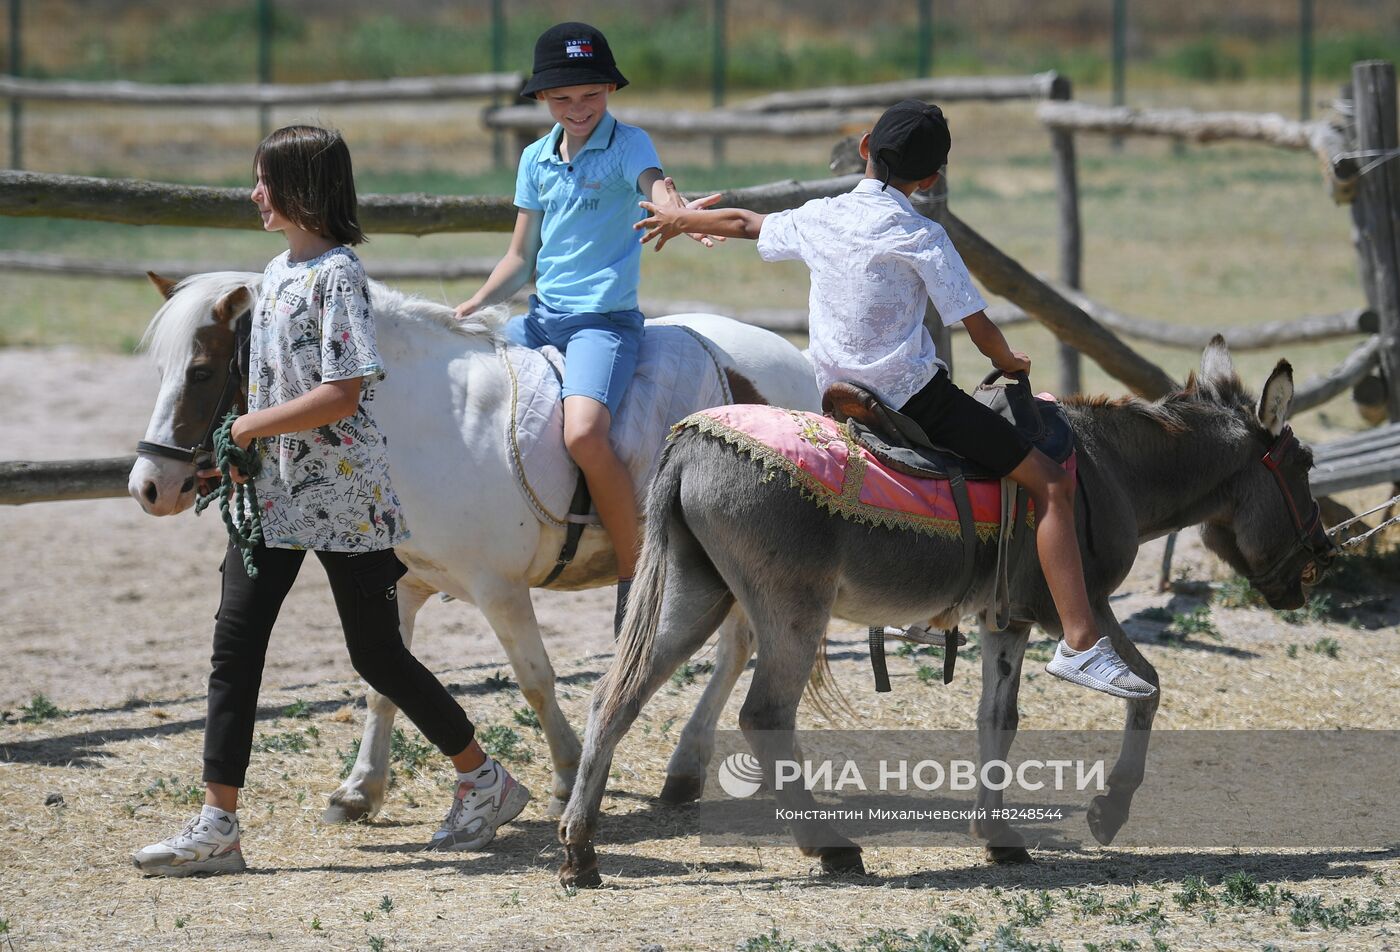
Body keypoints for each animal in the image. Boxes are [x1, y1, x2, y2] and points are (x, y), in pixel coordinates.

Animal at [131, 271, 817, 812]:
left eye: (201, 371)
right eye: (161, 372)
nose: (148, 486)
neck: (420, 423)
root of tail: (793, 363)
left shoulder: (500, 590)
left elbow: (534, 679)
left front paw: (568, 775)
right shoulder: (402, 585)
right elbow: (386, 682)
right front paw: (361, 788)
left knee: (736, 647)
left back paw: (685, 765)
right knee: (738, 647)